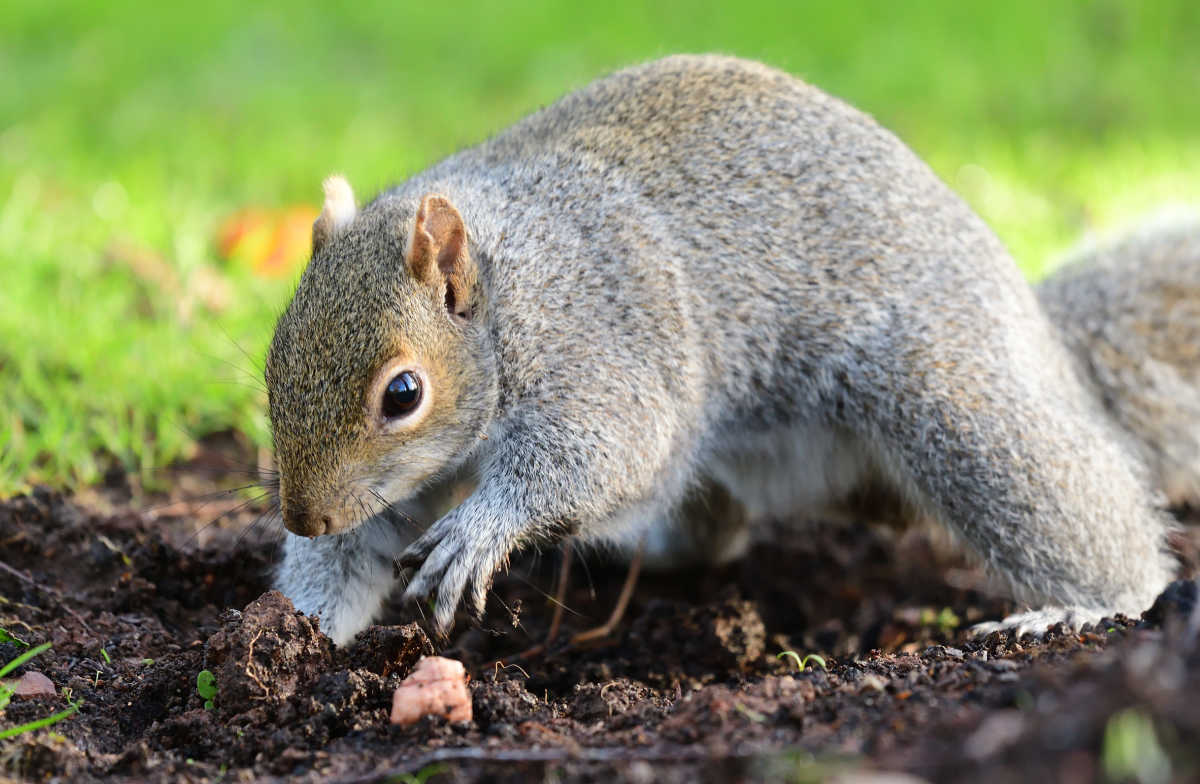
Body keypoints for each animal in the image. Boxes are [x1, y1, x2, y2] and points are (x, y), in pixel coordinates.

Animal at [265, 54, 1177, 646]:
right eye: (272, 359)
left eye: (404, 393)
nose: (302, 515)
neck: (507, 293)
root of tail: (1040, 334)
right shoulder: (400, 488)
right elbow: (356, 551)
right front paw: (298, 631)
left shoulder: (598, 344)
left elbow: (603, 449)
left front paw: (483, 531)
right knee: (715, 529)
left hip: (949, 394)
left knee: (1073, 507)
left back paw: (1084, 607)